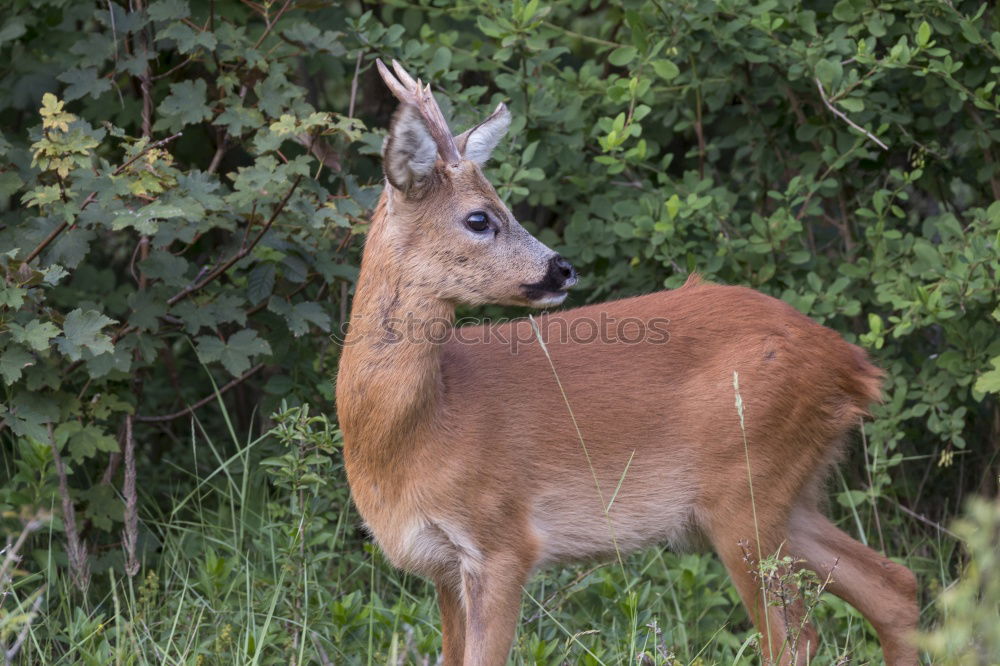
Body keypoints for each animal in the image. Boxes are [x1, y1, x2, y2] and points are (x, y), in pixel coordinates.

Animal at [338, 59, 920, 660]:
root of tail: (854, 366)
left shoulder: (503, 541)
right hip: (790, 494)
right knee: (894, 585)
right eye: (479, 218)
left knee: (798, 636)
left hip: (747, 489)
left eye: (505, 206)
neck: (421, 426)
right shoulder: (443, 567)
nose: (562, 269)